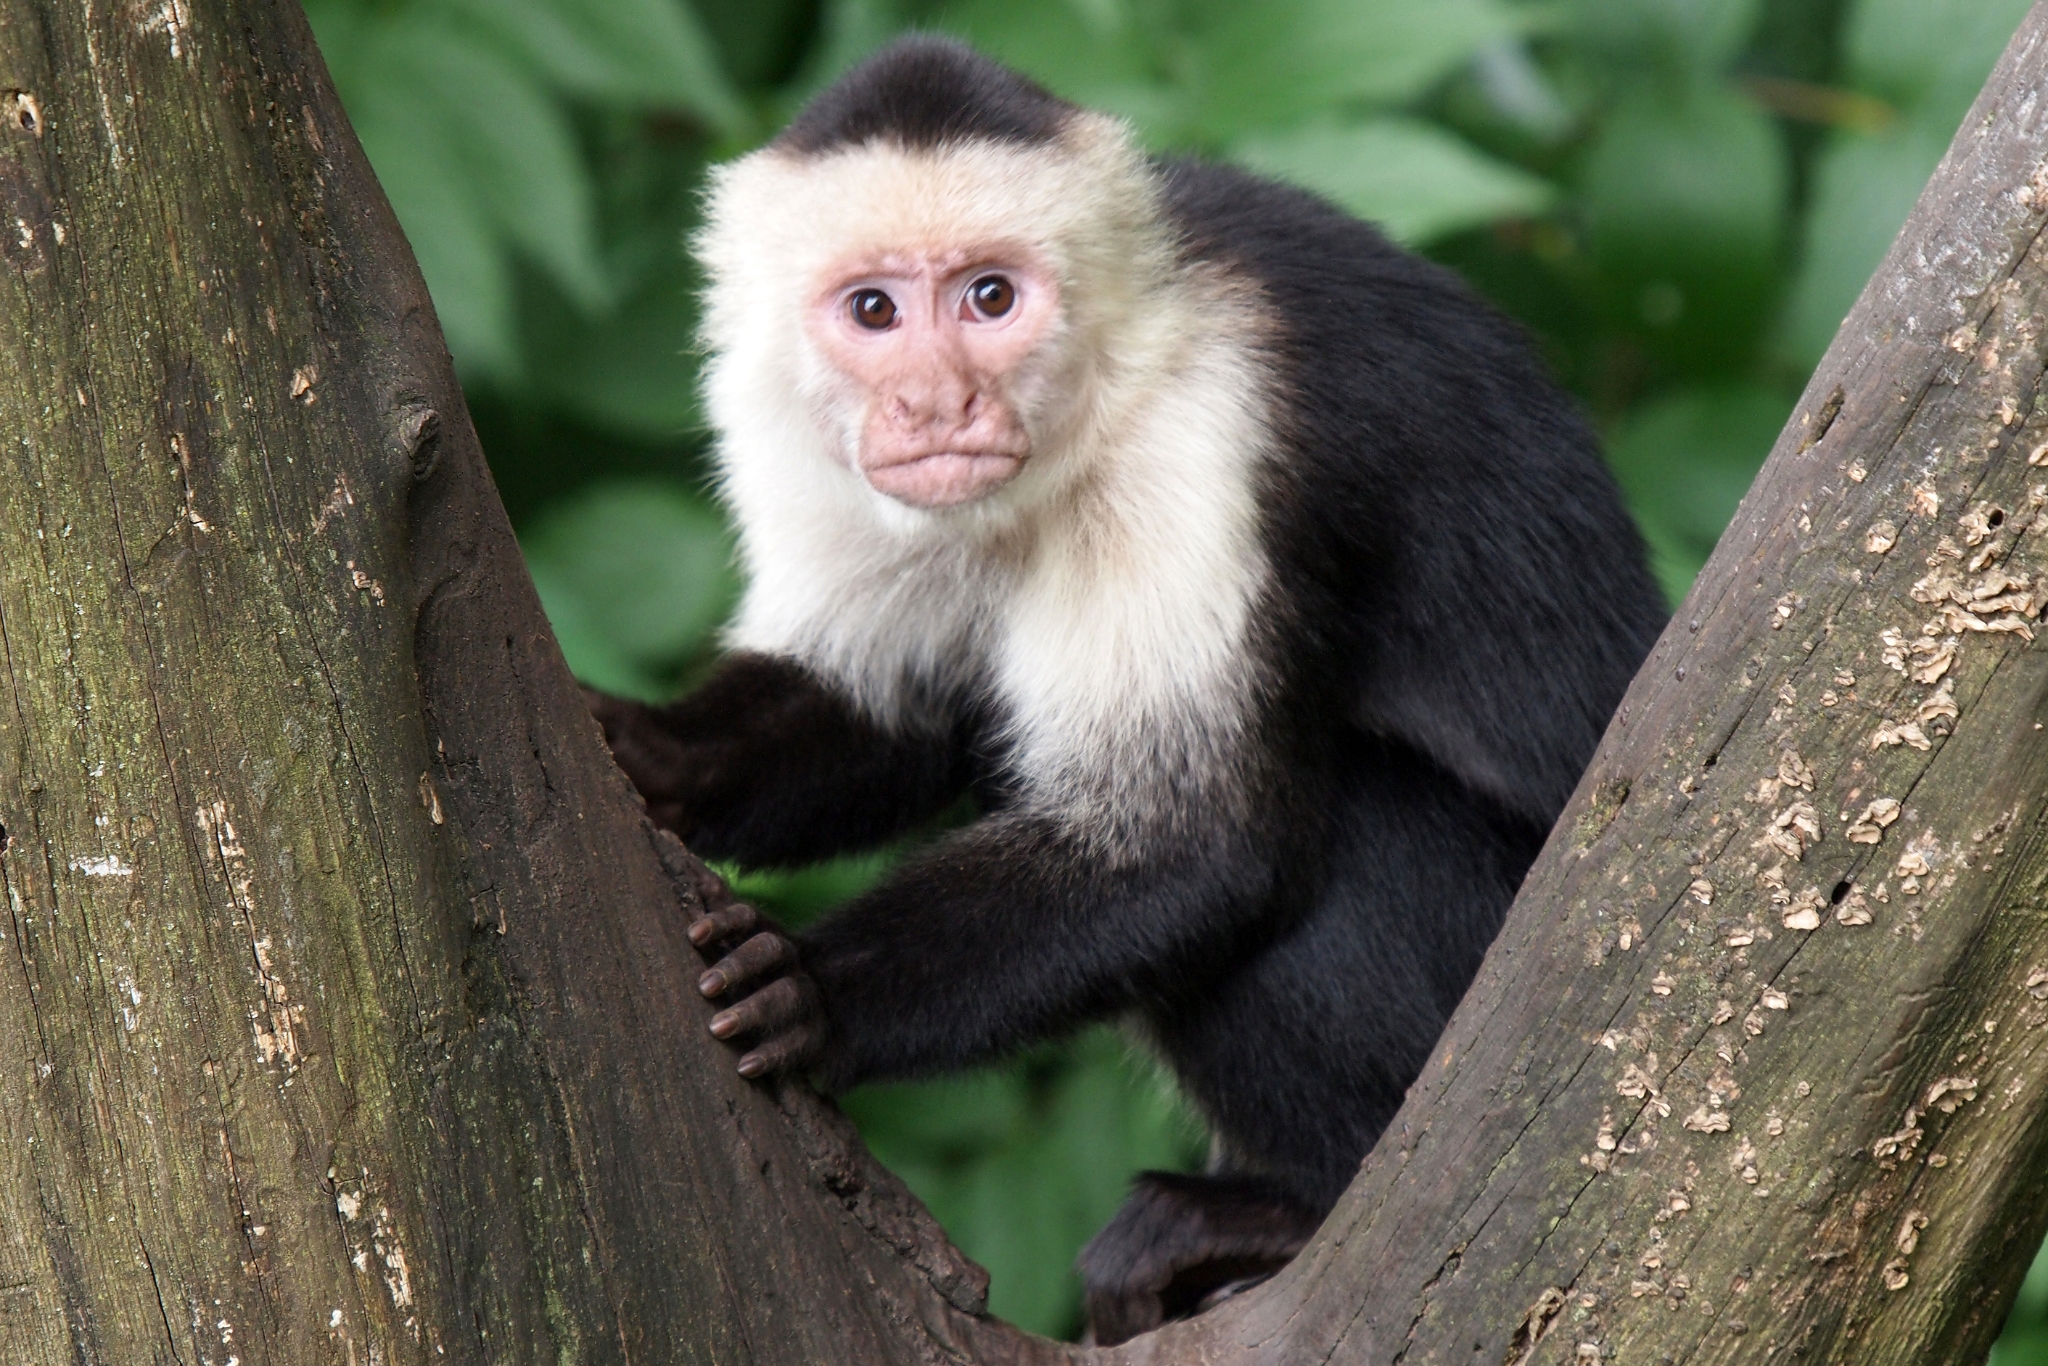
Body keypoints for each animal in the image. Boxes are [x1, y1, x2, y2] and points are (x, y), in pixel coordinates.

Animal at [584, 36, 1665, 1345]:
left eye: (990, 298)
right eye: (873, 309)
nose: (936, 403)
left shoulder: (1196, 432)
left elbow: (1186, 844)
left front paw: (815, 992)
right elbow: (896, 715)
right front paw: (653, 752)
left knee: (1337, 833)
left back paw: (1294, 1208)